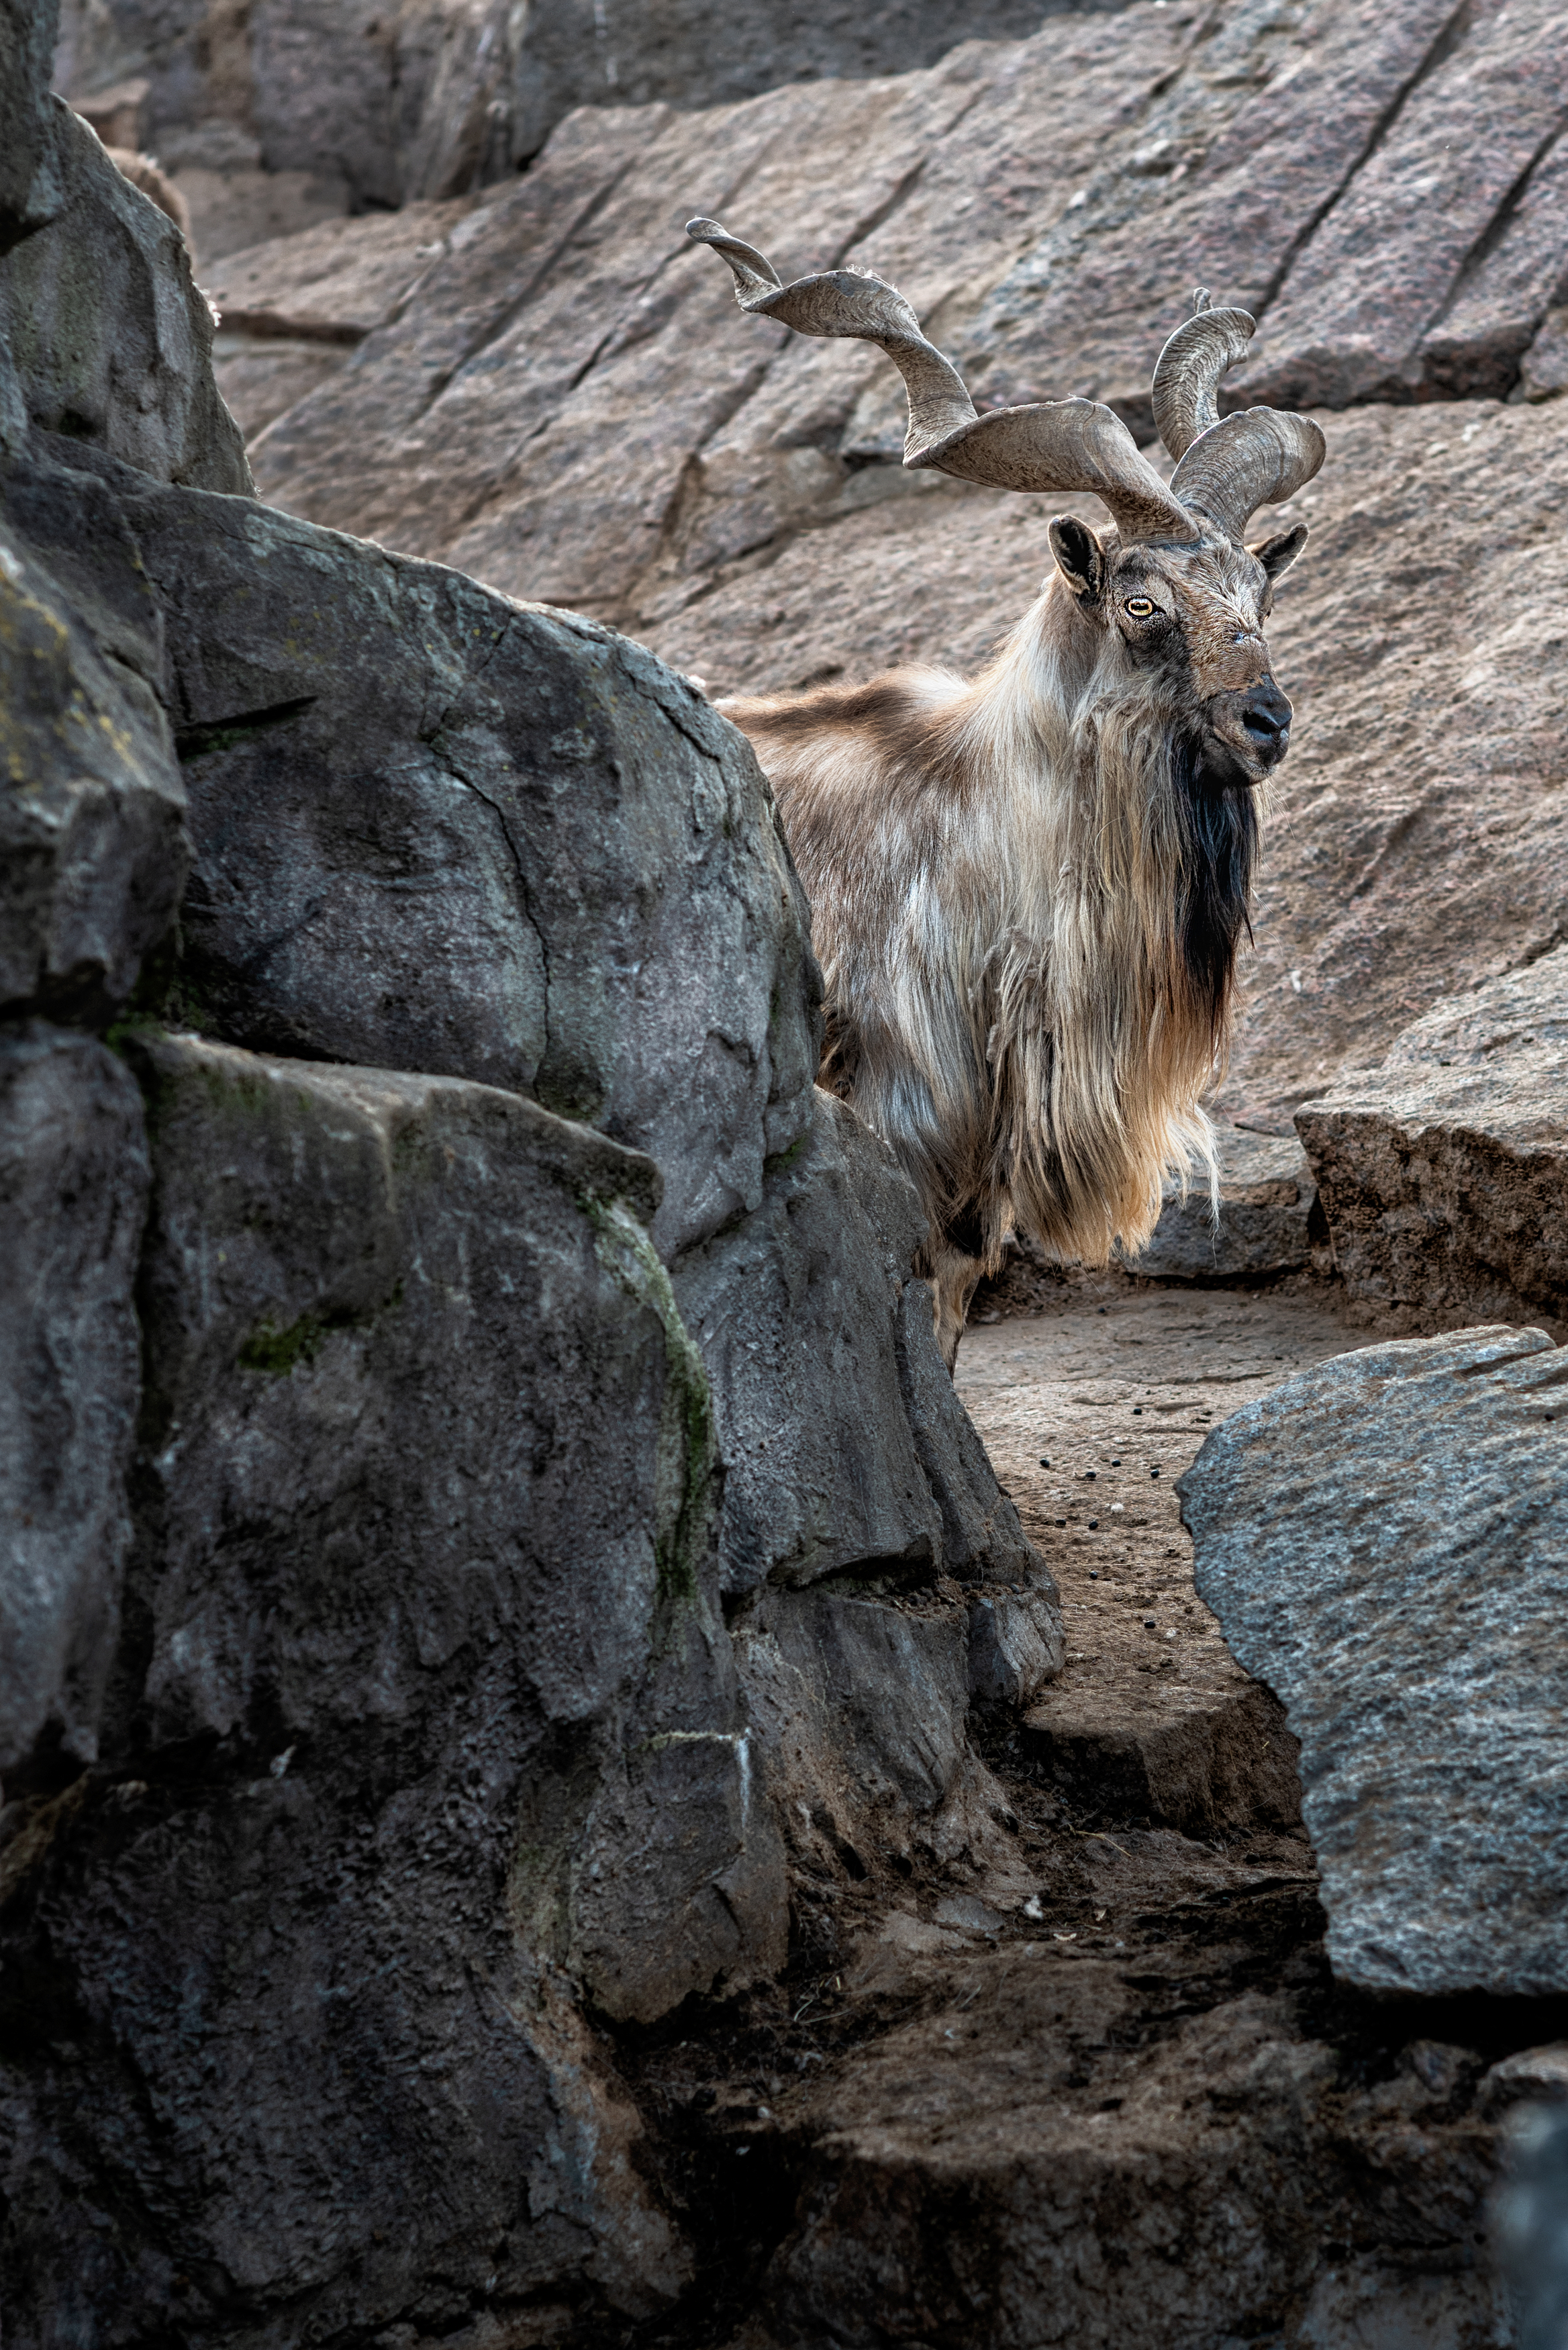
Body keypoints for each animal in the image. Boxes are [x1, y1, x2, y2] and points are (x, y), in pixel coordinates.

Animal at [686, 221, 1326, 1372]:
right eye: (1141, 603)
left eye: (1259, 592)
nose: (1267, 720)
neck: (981, 821)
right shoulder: (903, 1106)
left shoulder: (975, 1172)